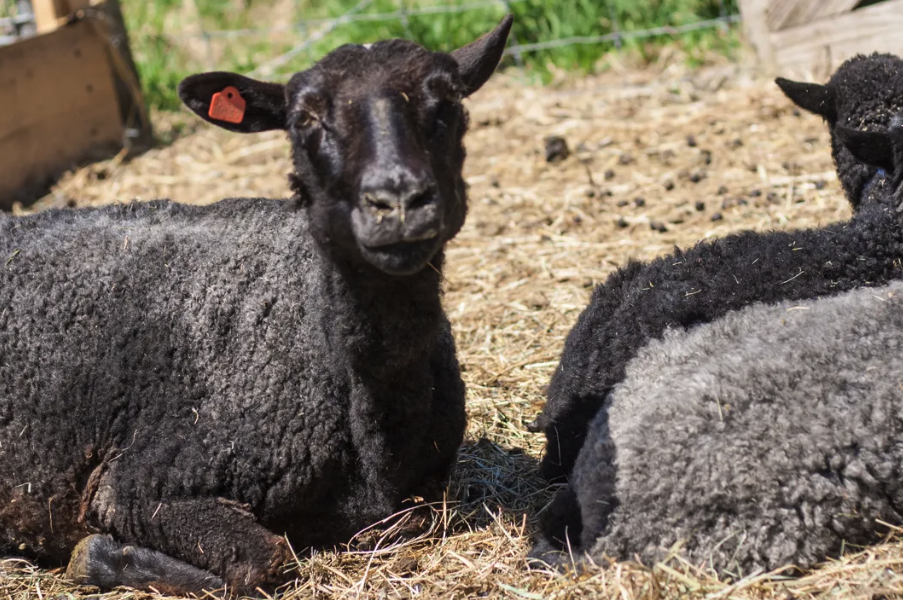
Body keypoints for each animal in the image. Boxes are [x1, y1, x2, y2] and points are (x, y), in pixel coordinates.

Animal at [0, 16, 508, 596]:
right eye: (305, 119)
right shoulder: (144, 484)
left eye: (448, 102)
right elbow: (264, 559)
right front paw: (94, 555)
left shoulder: (420, 493)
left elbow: (411, 519)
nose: (398, 202)